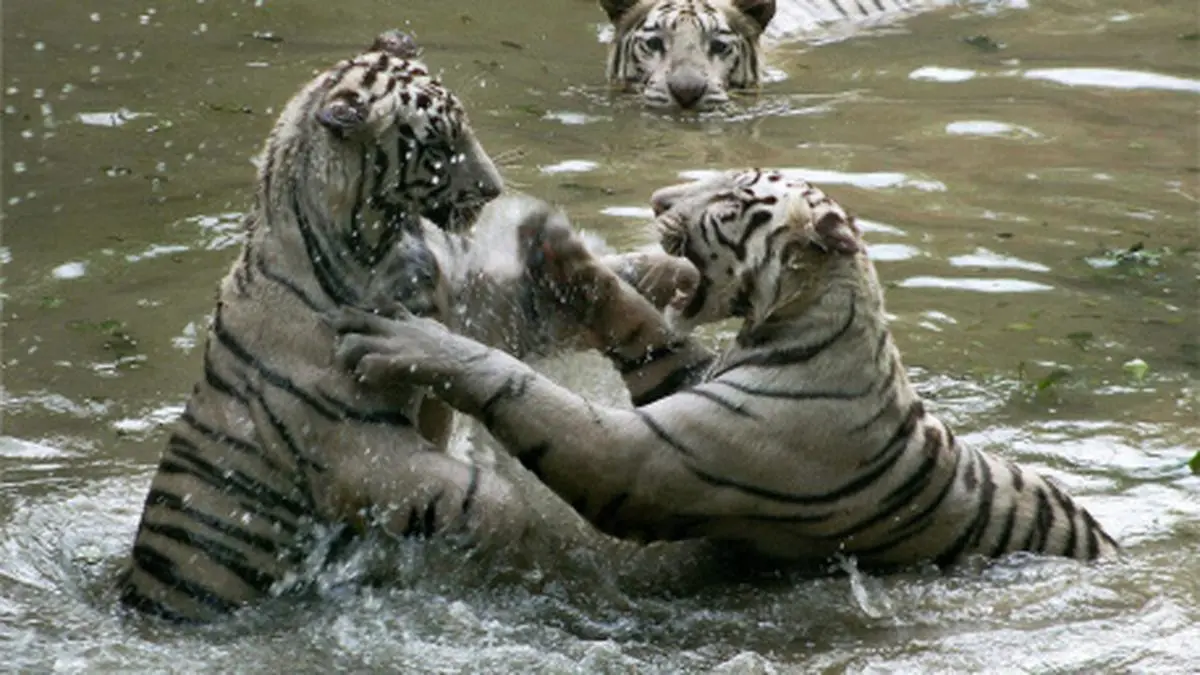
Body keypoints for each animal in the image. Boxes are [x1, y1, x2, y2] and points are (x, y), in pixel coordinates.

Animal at [117, 29, 697, 623]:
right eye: (438, 145)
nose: (492, 189)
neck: (382, 242)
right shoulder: (357, 449)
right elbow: (490, 499)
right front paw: (523, 547)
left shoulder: (469, 308)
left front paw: (652, 270)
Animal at [331, 168, 1122, 570]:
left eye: (733, 199)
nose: (656, 199)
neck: (790, 324)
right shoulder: (680, 377)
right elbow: (642, 326)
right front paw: (561, 253)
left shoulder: (648, 461)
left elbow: (530, 394)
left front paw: (401, 342)